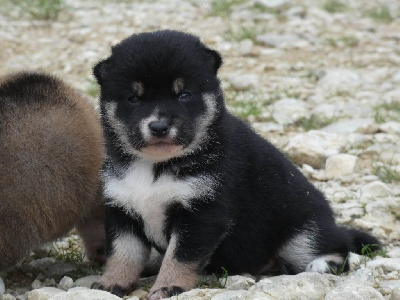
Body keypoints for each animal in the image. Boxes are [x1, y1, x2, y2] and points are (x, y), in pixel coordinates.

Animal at [92, 29, 380, 298]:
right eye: (133, 98)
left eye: (184, 95)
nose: (159, 127)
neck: (156, 166)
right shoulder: (122, 210)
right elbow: (123, 253)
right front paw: (112, 282)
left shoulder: (202, 214)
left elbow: (179, 257)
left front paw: (169, 286)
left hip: (302, 235)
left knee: (338, 245)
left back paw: (322, 264)